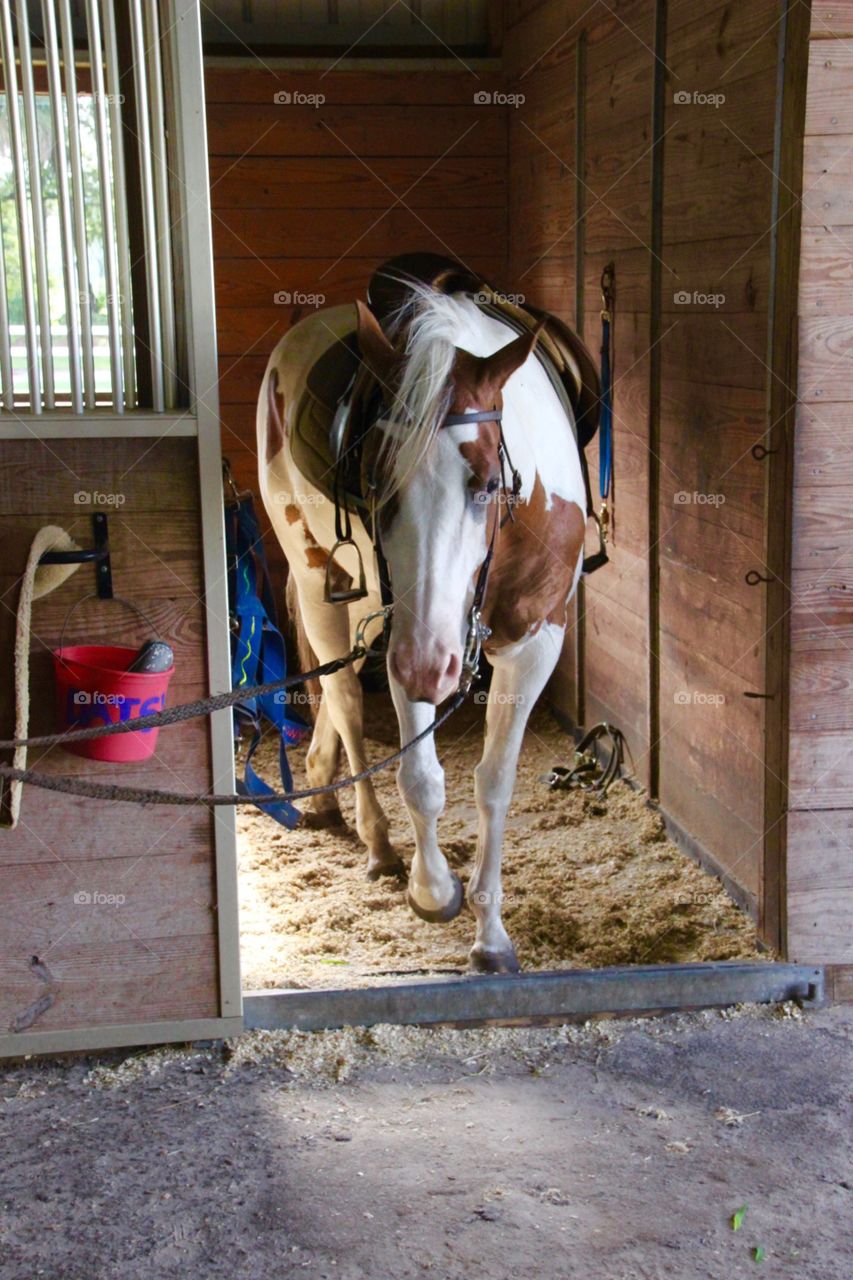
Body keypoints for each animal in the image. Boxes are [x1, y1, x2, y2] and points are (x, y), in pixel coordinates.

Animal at [257, 281, 588, 973]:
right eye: (377, 482)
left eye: (486, 483)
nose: (426, 669)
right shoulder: (407, 639)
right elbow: (421, 779)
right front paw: (434, 890)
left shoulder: (535, 644)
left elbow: (494, 782)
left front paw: (491, 935)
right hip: (319, 580)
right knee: (346, 700)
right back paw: (378, 842)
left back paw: (324, 787)